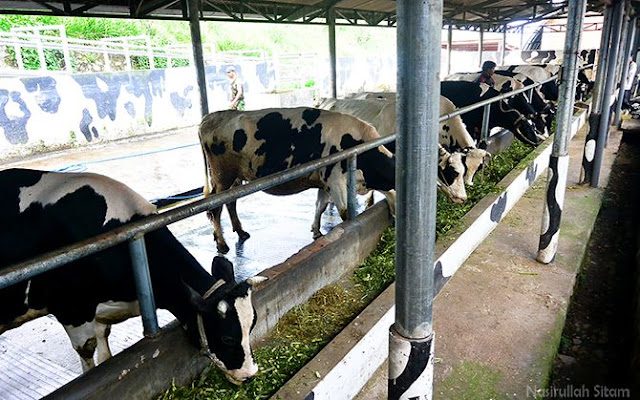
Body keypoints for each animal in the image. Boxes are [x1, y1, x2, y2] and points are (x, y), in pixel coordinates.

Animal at [0, 168, 264, 384]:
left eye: (251, 325)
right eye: (227, 337)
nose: (250, 375)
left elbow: (105, 353)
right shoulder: (71, 309)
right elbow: (88, 351)